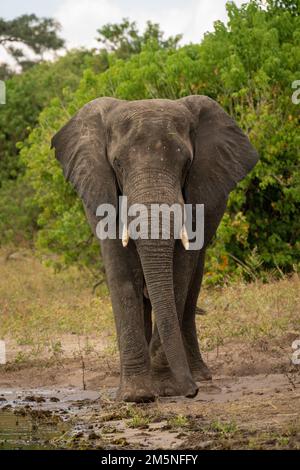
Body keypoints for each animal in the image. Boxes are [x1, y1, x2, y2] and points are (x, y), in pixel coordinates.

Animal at [51, 96, 258, 404]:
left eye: (186, 163)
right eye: (117, 163)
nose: (192, 392)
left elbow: (178, 277)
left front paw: (165, 389)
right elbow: (122, 278)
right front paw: (137, 396)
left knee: (192, 287)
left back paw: (198, 374)